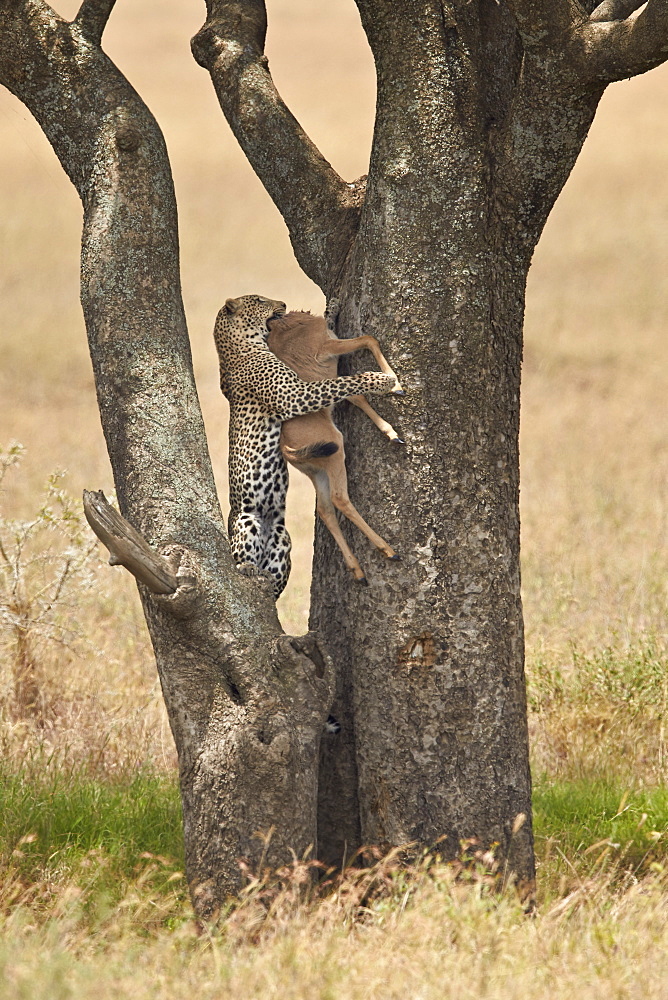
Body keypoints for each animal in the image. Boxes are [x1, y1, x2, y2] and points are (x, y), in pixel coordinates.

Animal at [214, 292, 402, 596]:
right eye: (257, 299)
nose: (281, 303)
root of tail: (287, 448)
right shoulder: (318, 363)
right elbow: (368, 341)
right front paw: (391, 381)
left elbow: (354, 393)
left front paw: (389, 427)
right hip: (332, 450)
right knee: (339, 499)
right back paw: (386, 549)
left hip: (315, 473)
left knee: (324, 510)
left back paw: (357, 570)